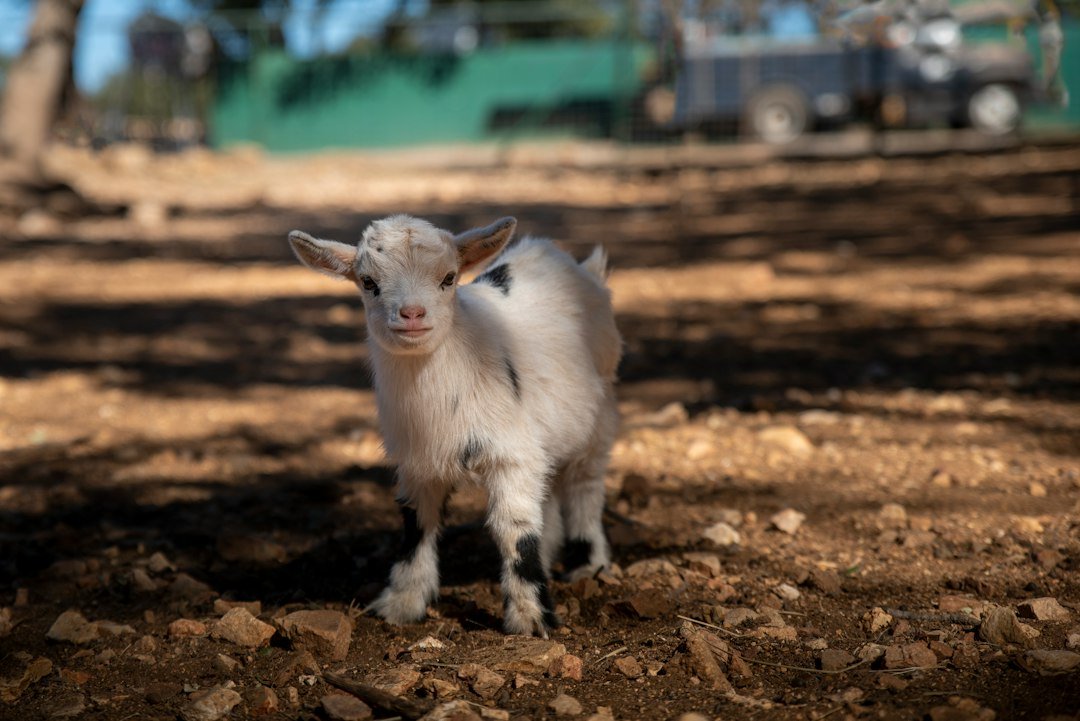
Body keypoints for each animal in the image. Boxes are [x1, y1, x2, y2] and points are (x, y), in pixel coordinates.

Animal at [288, 215, 621, 637]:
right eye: (368, 282)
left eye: (448, 278)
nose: (412, 314)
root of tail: (574, 264)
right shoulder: (416, 462)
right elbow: (417, 524)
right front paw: (402, 603)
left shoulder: (511, 455)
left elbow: (514, 529)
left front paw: (530, 619)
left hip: (601, 412)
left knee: (585, 484)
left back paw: (588, 565)